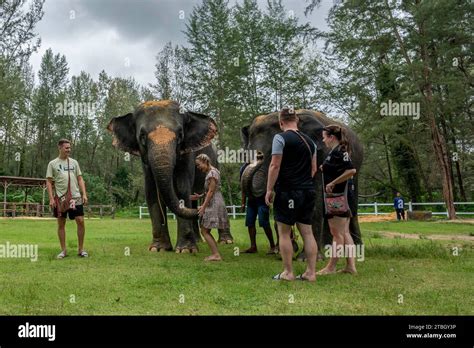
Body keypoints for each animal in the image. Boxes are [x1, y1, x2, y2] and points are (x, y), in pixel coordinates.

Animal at [107, 99, 233, 251]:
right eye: (142, 136)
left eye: (180, 135)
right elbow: (151, 192)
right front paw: (158, 248)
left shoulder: (187, 155)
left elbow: (181, 189)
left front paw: (185, 249)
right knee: (193, 200)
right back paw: (198, 239)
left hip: (215, 163)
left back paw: (225, 241)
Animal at [243, 110, 364, 260]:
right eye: (247, 151)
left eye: (273, 150)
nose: (259, 156)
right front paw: (285, 252)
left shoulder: (318, 154)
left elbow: (314, 198)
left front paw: (307, 257)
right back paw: (329, 248)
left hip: (355, 166)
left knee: (351, 204)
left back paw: (356, 250)